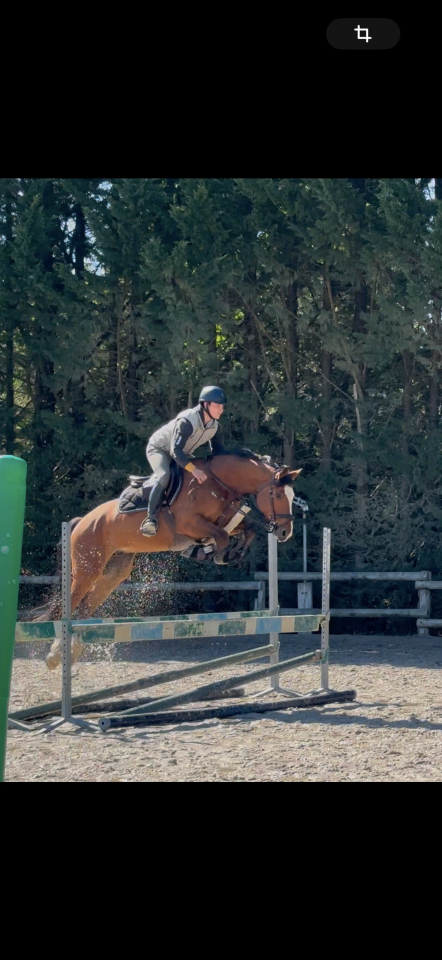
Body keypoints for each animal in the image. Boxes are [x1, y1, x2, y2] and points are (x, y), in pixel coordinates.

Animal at [37, 451, 302, 669]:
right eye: (278, 494)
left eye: (291, 496)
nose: (285, 533)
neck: (218, 484)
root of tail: (82, 521)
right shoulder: (190, 524)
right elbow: (222, 537)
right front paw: (210, 552)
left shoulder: (227, 520)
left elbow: (247, 530)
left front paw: (230, 554)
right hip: (88, 567)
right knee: (71, 605)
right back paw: (54, 656)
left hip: (114, 572)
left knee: (85, 606)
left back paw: (67, 654)